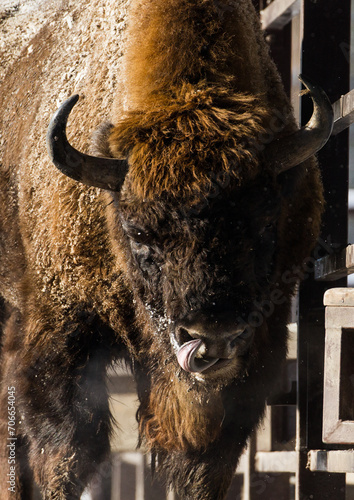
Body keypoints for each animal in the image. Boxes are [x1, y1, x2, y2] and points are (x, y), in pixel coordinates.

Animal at [0, 0, 334, 498]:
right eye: (138, 234)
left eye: (264, 223)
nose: (211, 337)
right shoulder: (57, 330)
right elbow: (66, 452)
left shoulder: (259, 347)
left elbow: (206, 461)